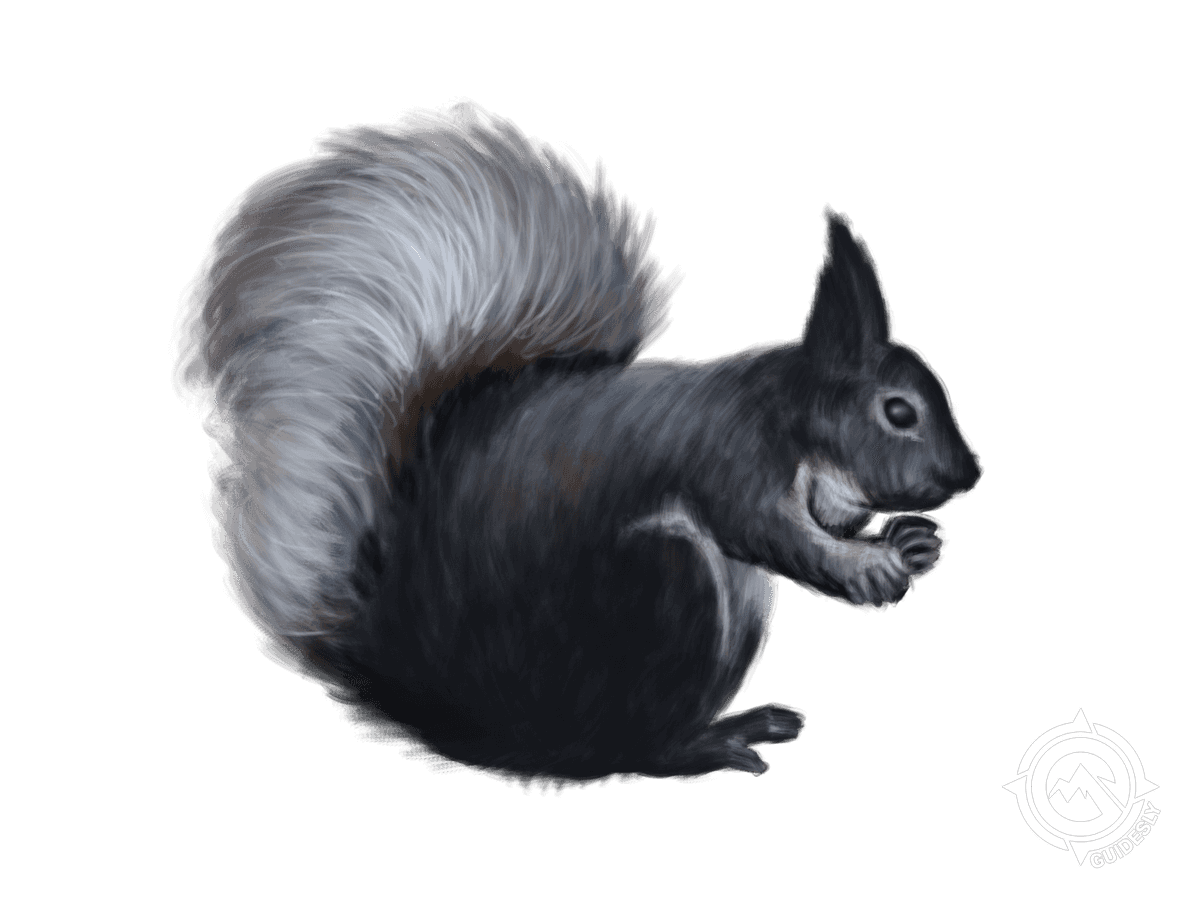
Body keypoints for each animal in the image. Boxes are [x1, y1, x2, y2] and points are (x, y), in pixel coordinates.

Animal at [171, 99, 983, 789]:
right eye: (899, 412)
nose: (969, 473)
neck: (792, 417)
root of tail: (478, 724)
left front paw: (915, 541)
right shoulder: (734, 457)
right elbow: (776, 533)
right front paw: (873, 567)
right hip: (666, 582)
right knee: (628, 753)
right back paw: (714, 742)